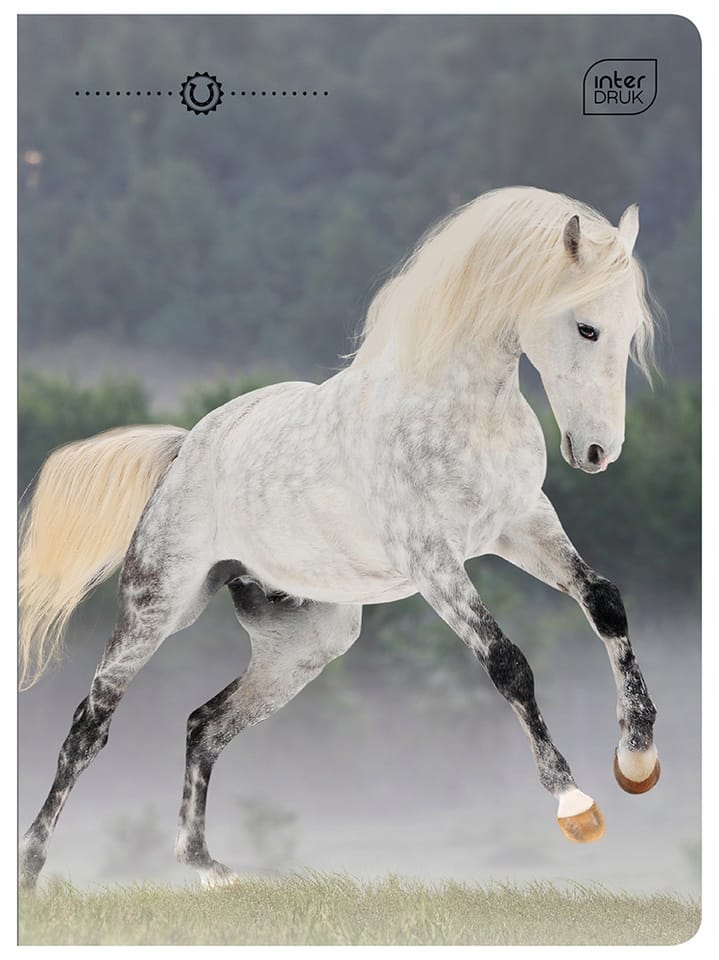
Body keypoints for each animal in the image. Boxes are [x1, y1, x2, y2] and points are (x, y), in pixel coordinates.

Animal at [19, 186, 661, 891]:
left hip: (310, 642)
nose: (598, 453)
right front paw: (575, 804)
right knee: (89, 728)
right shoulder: (431, 559)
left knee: (204, 725)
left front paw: (637, 760)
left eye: (630, 331)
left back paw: (208, 867)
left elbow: (604, 601)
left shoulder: (520, 524)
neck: (458, 410)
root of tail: (185, 449)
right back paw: (31, 870)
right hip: (157, 609)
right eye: (586, 327)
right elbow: (507, 663)